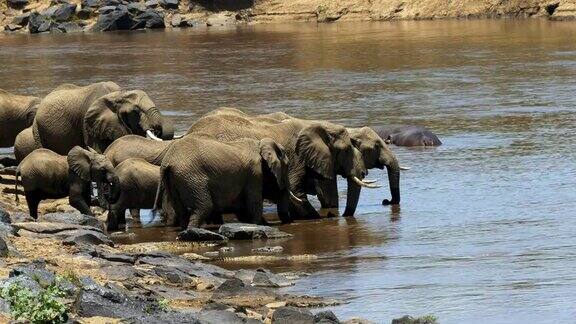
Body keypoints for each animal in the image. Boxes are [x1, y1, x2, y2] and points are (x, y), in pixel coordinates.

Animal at [33, 82, 171, 156]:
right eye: (136, 110)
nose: (156, 130)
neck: (118, 94)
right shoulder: (88, 122)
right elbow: (98, 149)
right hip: (38, 128)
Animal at [155, 135, 292, 229]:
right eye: (287, 166)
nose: (289, 222)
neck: (260, 143)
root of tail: (168, 162)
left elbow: (242, 209)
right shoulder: (254, 173)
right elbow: (253, 203)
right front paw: (259, 225)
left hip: (173, 180)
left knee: (181, 210)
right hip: (192, 177)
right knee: (204, 207)